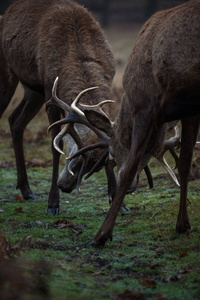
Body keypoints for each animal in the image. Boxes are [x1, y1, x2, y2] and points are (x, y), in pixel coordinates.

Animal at [0, 0, 115, 214]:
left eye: (95, 166)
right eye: (74, 157)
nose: (65, 187)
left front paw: (118, 201)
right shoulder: (50, 92)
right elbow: (56, 144)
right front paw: (53, 203)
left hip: (33, 89)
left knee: (15, 120)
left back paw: (26, 190)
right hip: (9, 76)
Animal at [48, 0, 200, 246]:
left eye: (110, 154)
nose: (63, 185)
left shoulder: (145, 104)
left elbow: (129, 168)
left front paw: (101, 234)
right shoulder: (190, 109)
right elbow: (185, 163)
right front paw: (183, 224)